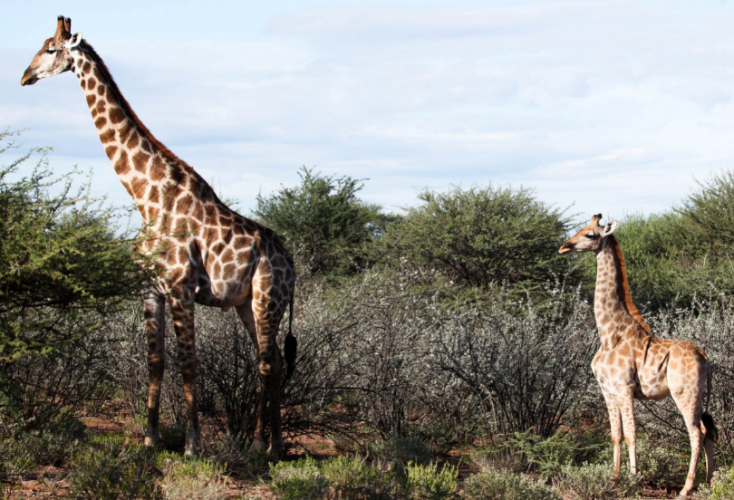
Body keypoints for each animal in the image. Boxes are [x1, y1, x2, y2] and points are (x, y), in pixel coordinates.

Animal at [22, 15, 300, 456]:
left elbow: (189, 363)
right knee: (271, 360)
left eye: (50, 48)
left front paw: (192, 443)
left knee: (265, 362)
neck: (146, 197)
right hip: (246, 304)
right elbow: (156, 361)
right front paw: (150, 438)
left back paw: (259, 444)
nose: (24, 76)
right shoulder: (150, 289)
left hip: (266, 298)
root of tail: (291, 264)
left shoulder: (181, 288)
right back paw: (274, 445)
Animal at [560, 214, 716, 496]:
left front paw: (632, 479)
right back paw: (708, 483)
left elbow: (632, 433)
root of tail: (705, 357)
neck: (609, 333)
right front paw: (613, 479)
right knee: (707, 430)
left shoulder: (624, 388)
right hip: (698, 395)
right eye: (580, 229)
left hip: (684, 393)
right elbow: (615, 434)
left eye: (590, 234)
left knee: (696, 432)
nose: (564, 247)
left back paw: (686, 488)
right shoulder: (607, 390)